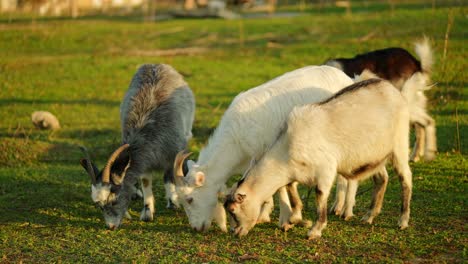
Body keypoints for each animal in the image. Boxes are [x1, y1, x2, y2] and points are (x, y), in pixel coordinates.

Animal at [79, 64, 195, 229]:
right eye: (99, 206)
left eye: (114, 200)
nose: (111, 227)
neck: (146, 132)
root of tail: (156, 65)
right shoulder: (145, 161)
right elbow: (145, 181)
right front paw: (147, 212)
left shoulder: (173, 152)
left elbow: (169, 176)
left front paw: (172, 202)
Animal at [174, 66, 352, 233]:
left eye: (190, 199)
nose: (196, 228)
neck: (236, 143)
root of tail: (343, 76)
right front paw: (264, 213)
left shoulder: (270, 154)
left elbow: (279, 186)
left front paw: (285, 220)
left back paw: (343, 209)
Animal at [227, 78, 414, 239]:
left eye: (233, 211)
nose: (235, 232)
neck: (287, 148)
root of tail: (391, 88)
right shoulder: (295, 173)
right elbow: (292, 191)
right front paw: (295, 219)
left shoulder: (326, 169)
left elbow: (319, 195)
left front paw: (315, 230)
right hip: (375, 156)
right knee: (382, 178)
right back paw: (369, 216)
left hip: (399, 145)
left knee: (406, 178)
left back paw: (403, 220)